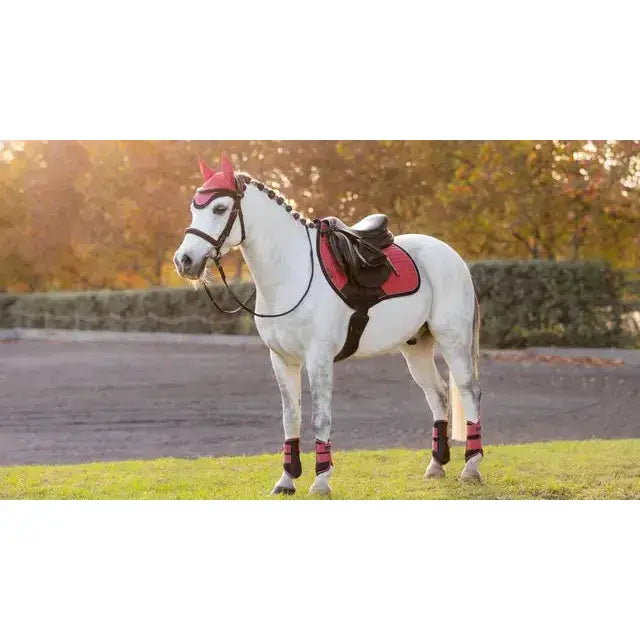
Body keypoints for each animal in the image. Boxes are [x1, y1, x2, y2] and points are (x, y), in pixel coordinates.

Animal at [173, 154, 483, 495]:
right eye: (194, 208)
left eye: (219, 208)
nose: (184, 261)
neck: (292, 273)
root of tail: (451, 255)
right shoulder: (282, 360)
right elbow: (291, 417)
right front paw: (286, 480)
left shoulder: (318, 359)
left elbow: (320, 418)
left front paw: (321, 480)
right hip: (416, 346)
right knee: (438, 394)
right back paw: (436, 465)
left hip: (453, 341)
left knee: (468, 392)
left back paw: (471, 467)